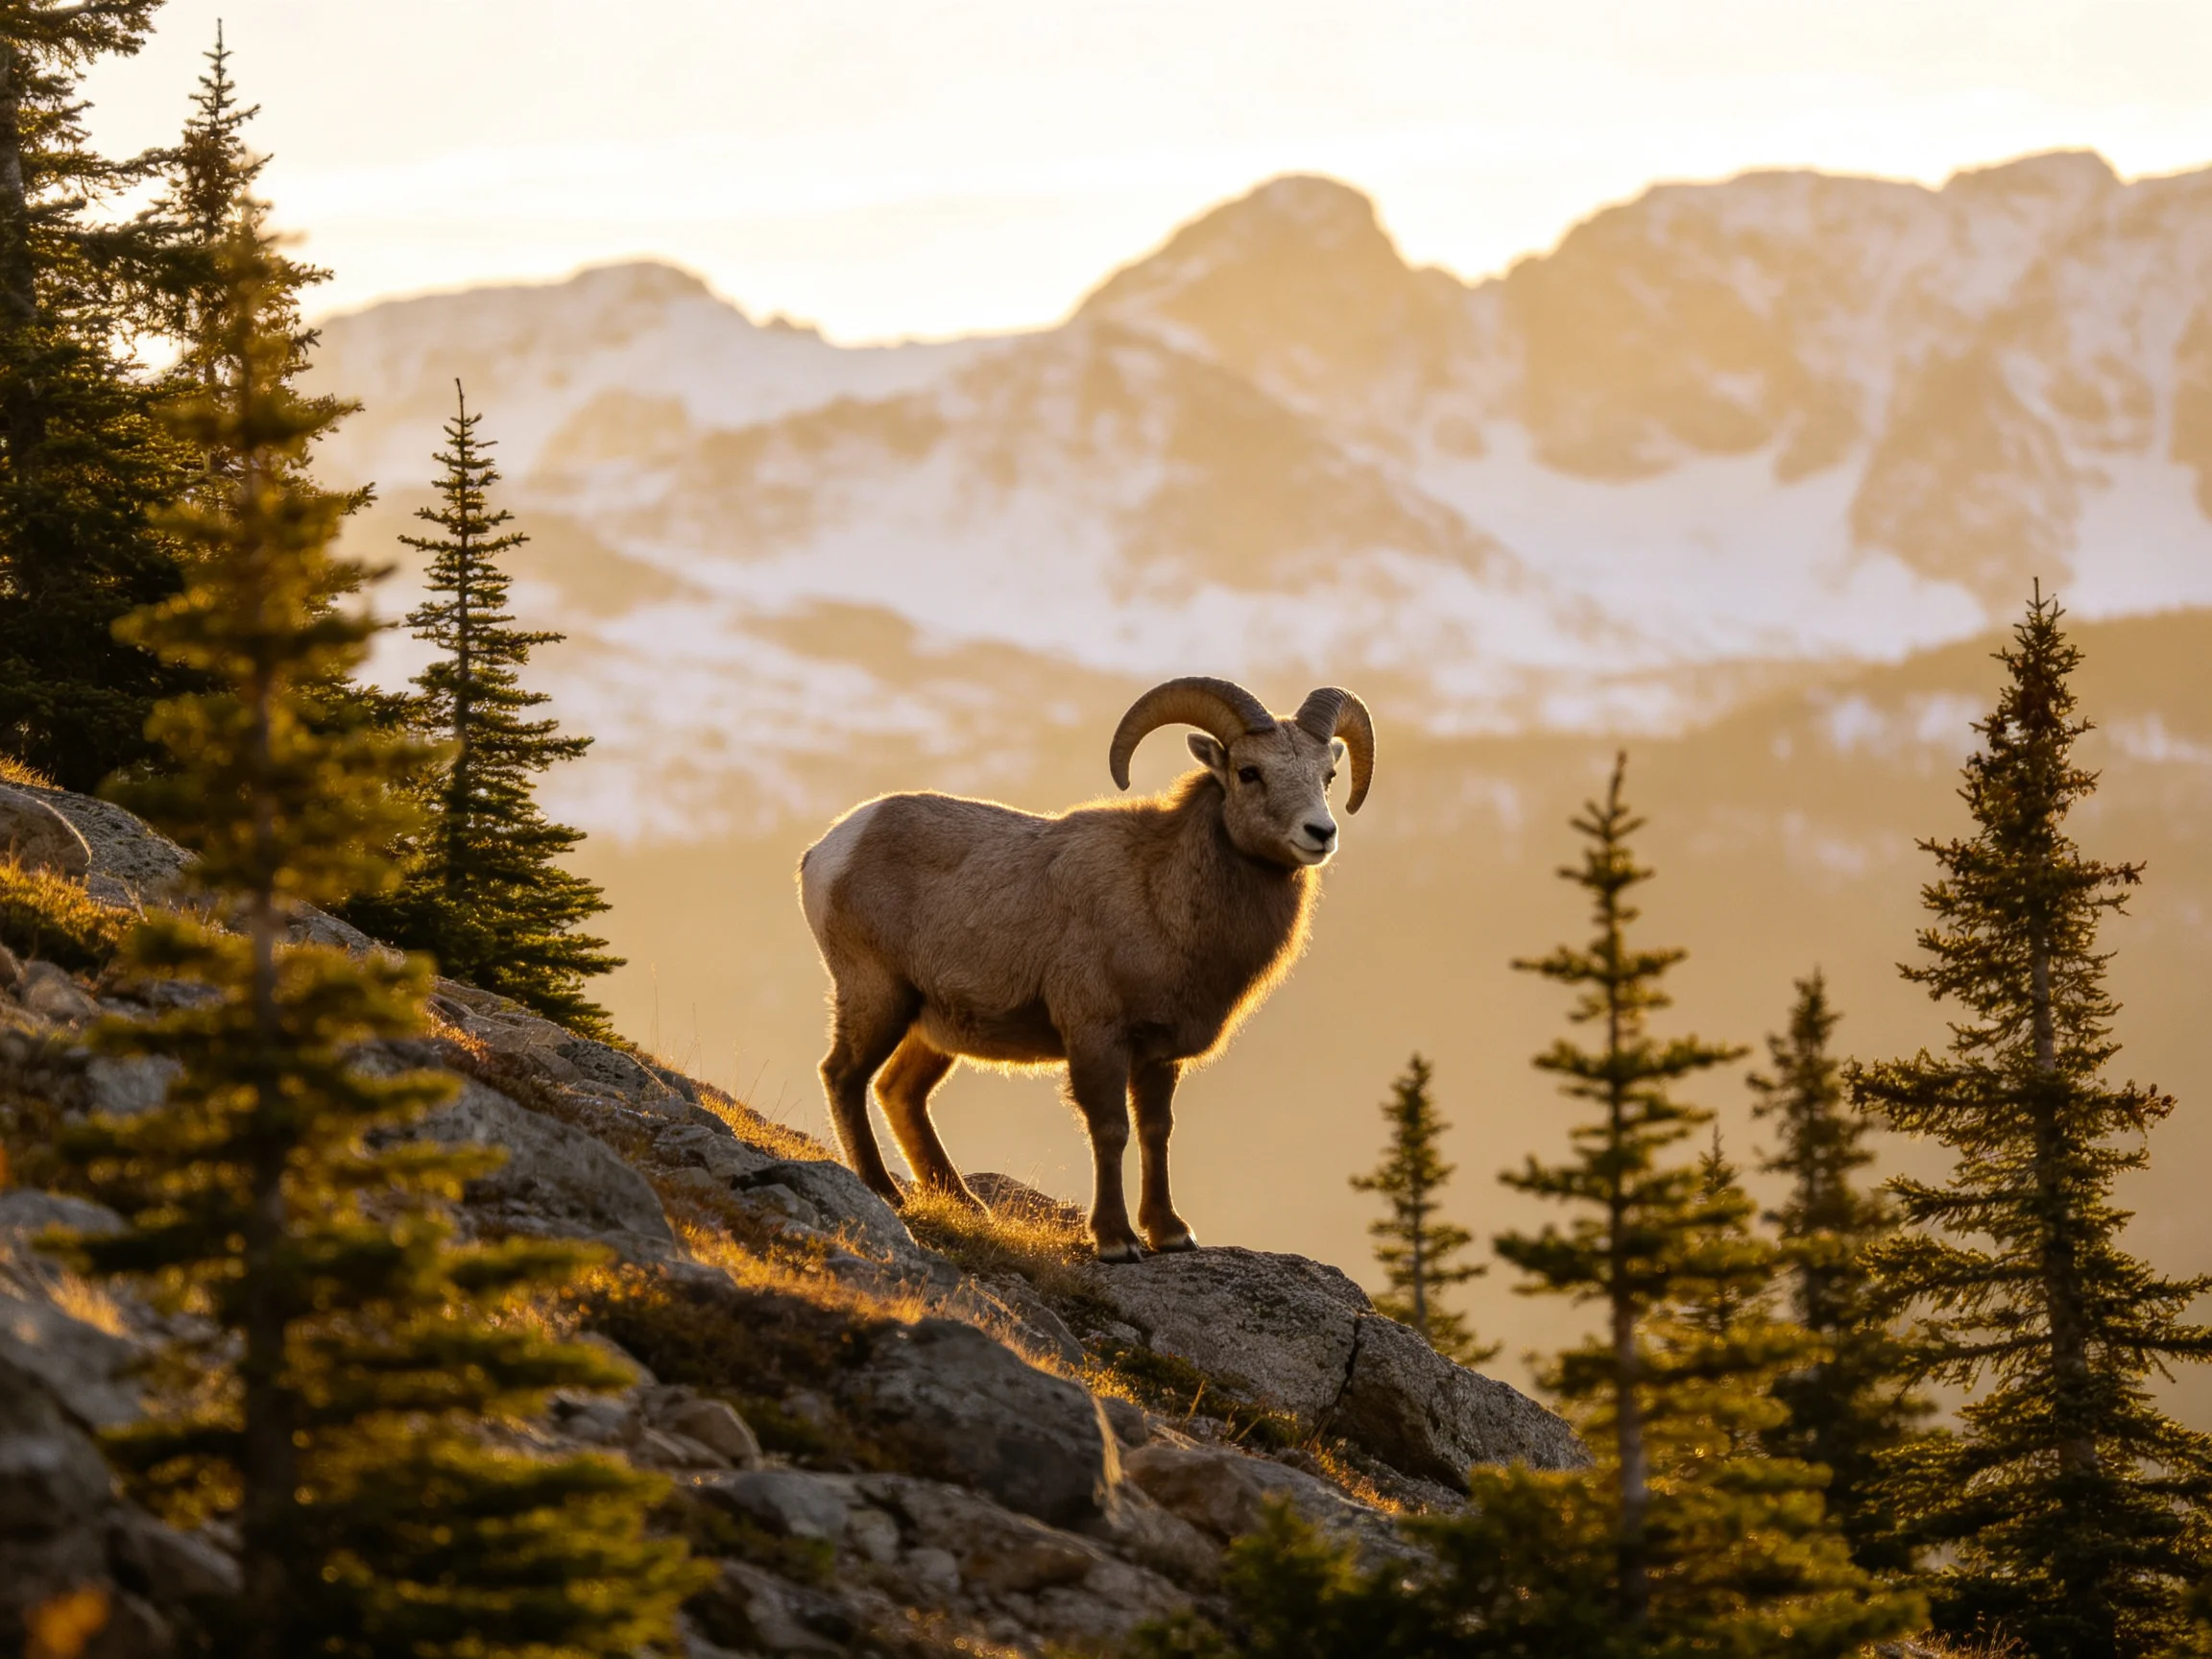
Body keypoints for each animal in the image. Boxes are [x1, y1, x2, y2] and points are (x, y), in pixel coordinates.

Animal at [796, 675, 1375, 1261]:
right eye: (1249, 772)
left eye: (1327, 776)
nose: (1320, 832)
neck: (1158, 897)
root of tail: (828, 850)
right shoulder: (1097, 1037)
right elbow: (1111, 1129)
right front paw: (1117, 1240)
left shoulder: (1159, 1054)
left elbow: (1156, 1130)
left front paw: (1170, 1233)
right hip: (878, 997)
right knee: (843, 1076)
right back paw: (884, 1192)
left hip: (933, 1027)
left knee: (900, 1091)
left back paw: (964, 1203)